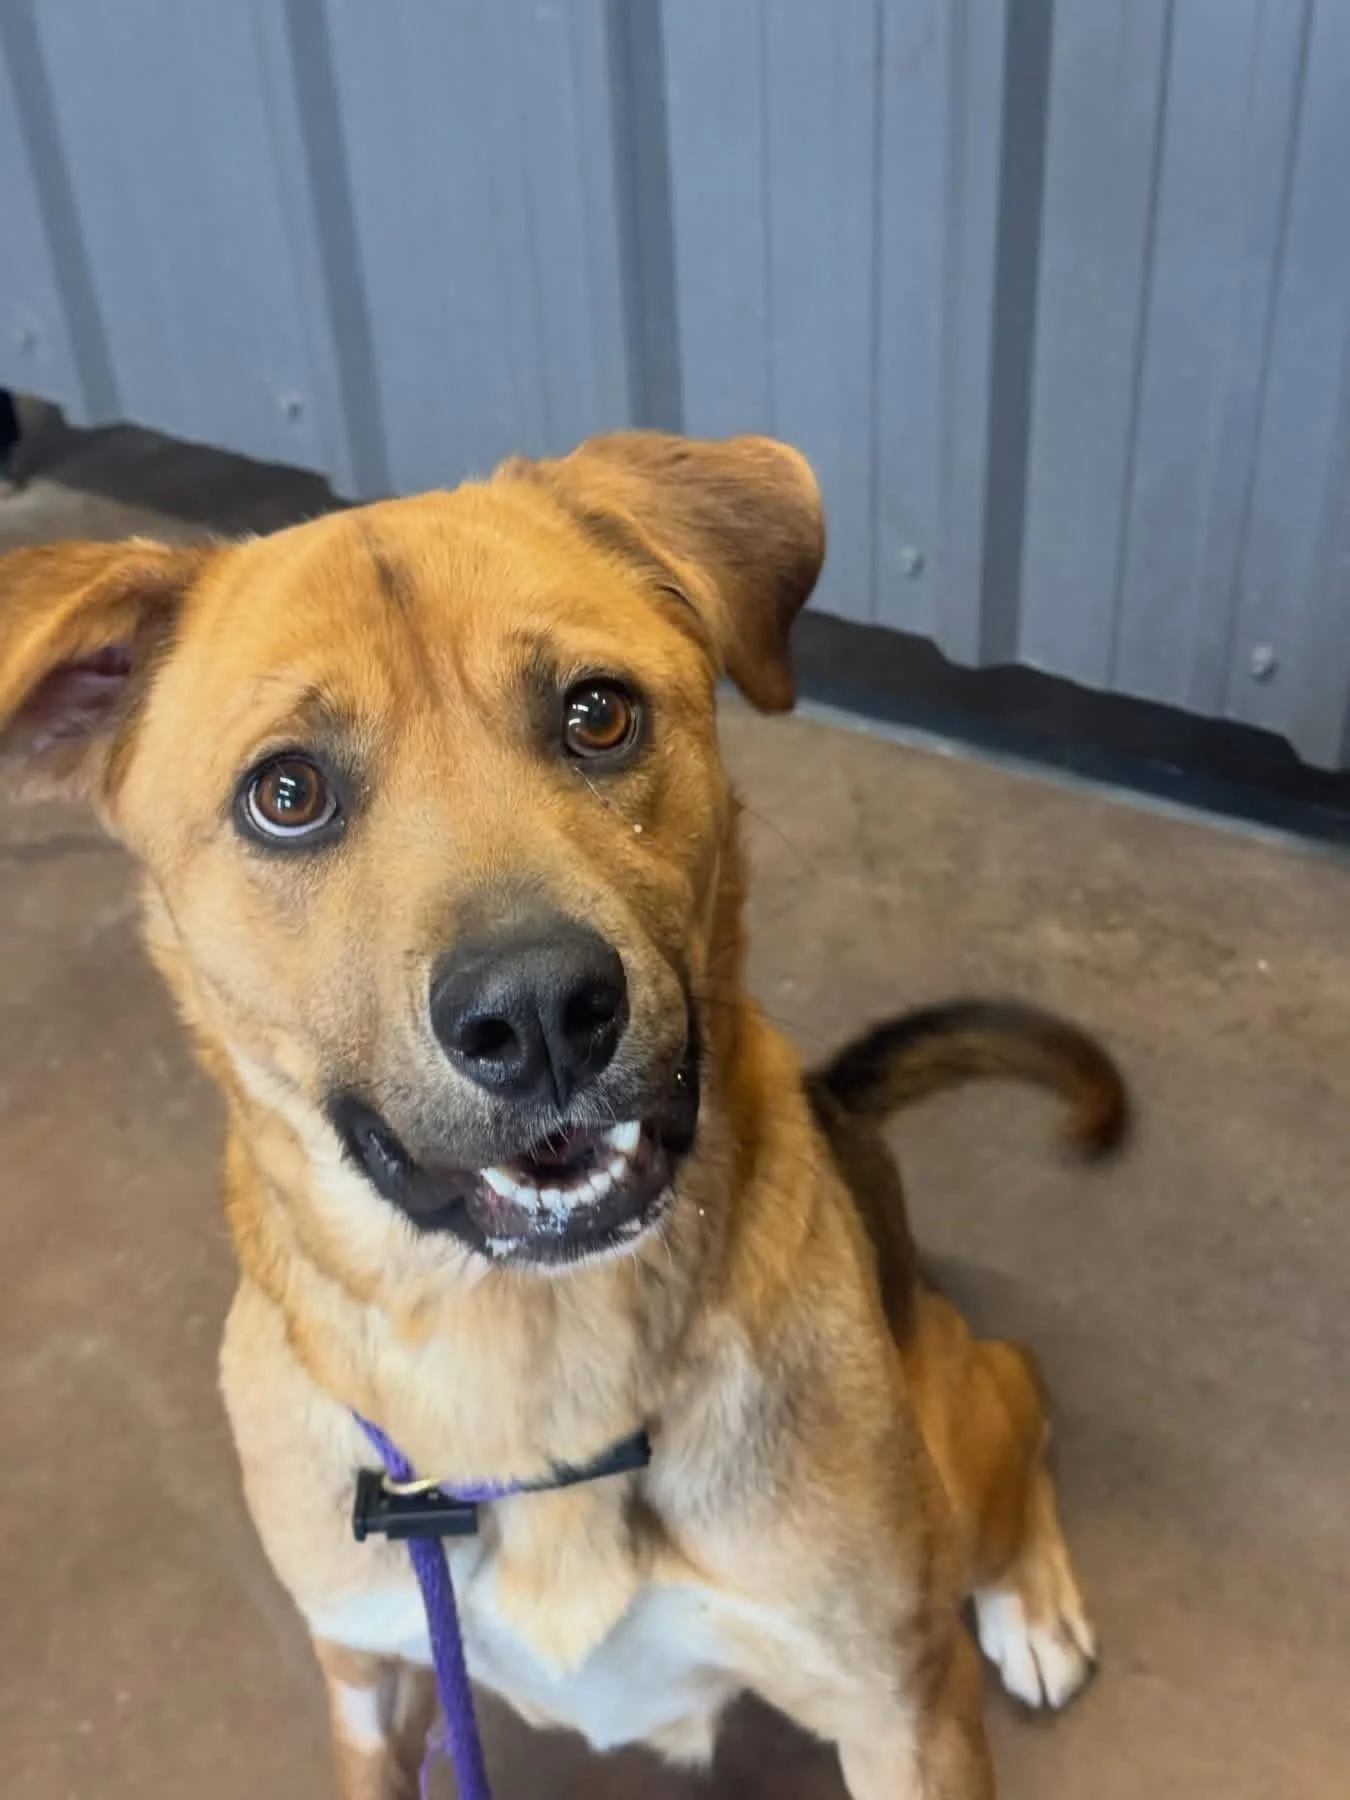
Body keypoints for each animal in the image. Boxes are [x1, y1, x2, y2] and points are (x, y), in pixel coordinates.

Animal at [0, 431, 1126, 1798]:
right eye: (287, 792)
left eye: (597, 713)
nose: (540, 1012)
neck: (525, 1363)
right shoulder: (367, 1682)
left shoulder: (900, 1707)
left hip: (952, 1439)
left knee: (1014, 1387)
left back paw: (1032, 1601)